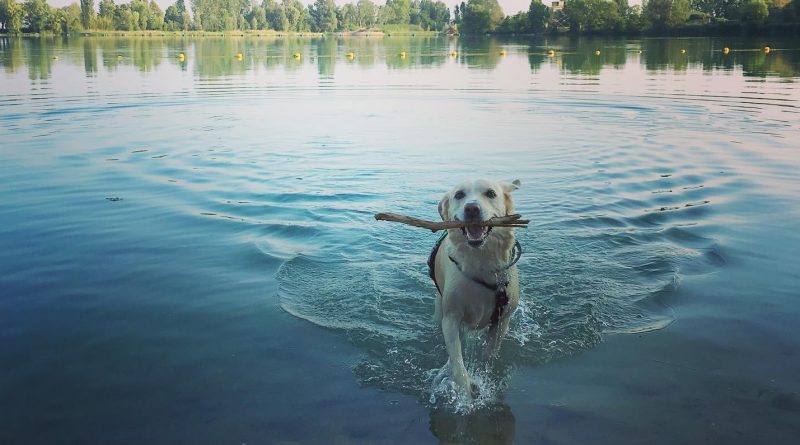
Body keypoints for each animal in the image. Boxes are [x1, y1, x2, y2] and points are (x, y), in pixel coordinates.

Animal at [428, 179, 520, 398]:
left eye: (491, 193)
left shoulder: (502, 319)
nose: (472, 208)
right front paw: (465, 392)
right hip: (439, 307)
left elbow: (489, 354)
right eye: (459, 195)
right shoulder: (450, 319)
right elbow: (457, 363)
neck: (481, 262)